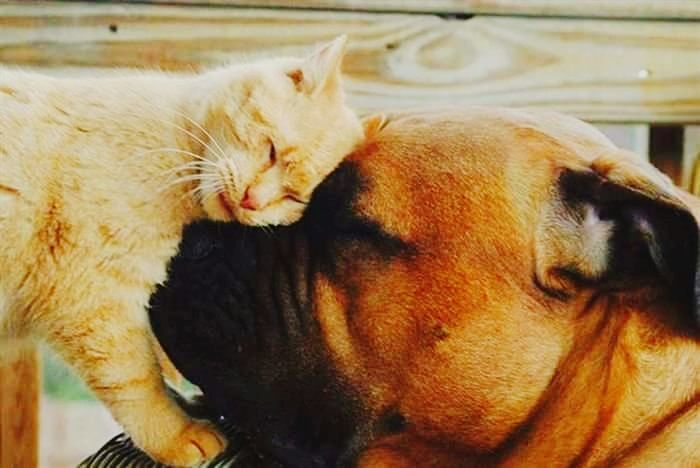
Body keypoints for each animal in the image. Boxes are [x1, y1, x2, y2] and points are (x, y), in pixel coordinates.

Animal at [0, 34, 364, 466]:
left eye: (294, 198)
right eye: (272, 151)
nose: (252, 200)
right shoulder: (94, 300)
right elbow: (138, 382)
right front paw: (176, 435)